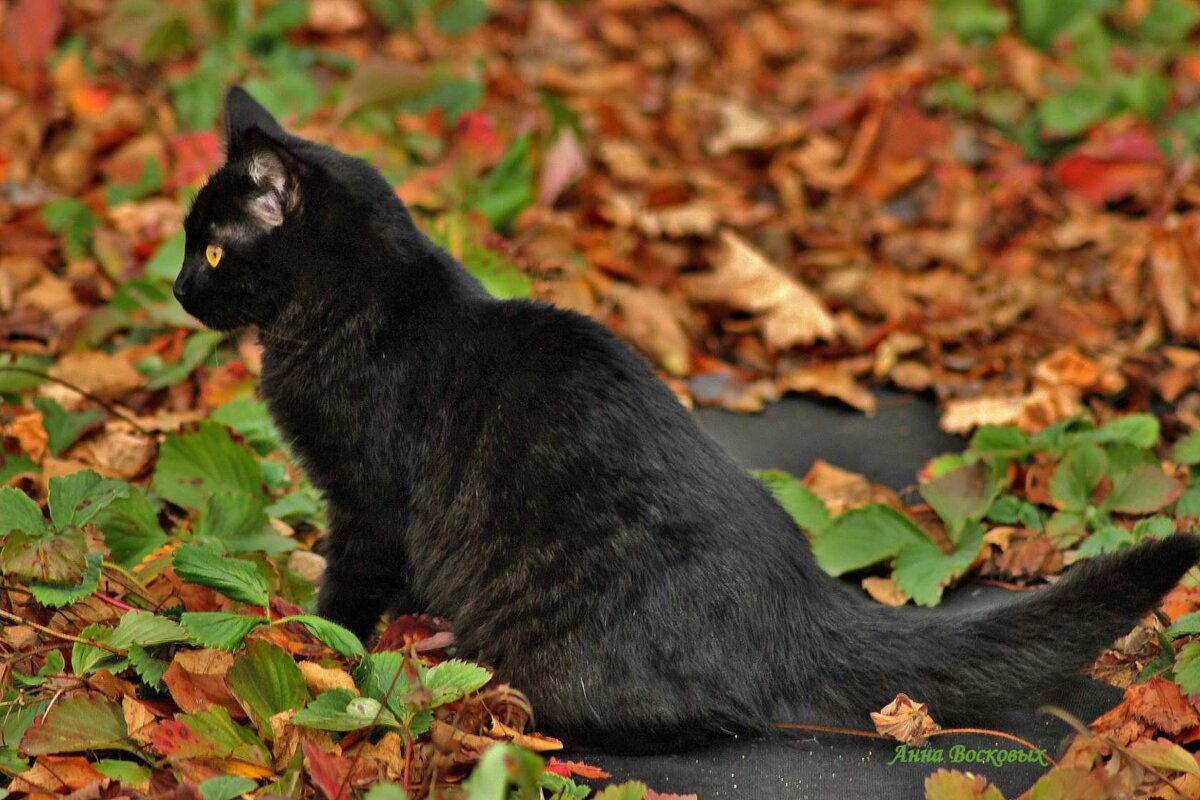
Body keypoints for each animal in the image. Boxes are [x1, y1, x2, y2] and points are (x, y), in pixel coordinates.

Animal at [171, 87, 1200, 753]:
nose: (176, 289)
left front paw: (317, 651)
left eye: (215, 252)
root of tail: (805, 603)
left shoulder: (370, 504)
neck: (355, 308)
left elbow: (348, 591)